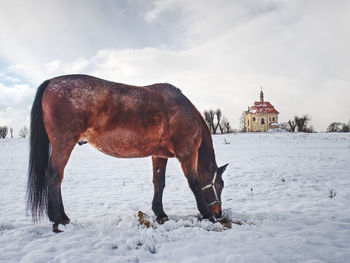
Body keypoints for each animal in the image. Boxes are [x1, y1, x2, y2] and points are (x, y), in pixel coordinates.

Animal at [28, 75, 230, 233]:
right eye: (220, 185)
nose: (218, 213)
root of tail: (51, 82)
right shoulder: (187, 153)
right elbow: (194, 184)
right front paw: (207, 215)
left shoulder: (159, 155)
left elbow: (159, 183)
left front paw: (161, 214)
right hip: (64, 144)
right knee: (55, 176)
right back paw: (59, 221)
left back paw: (61, 218)